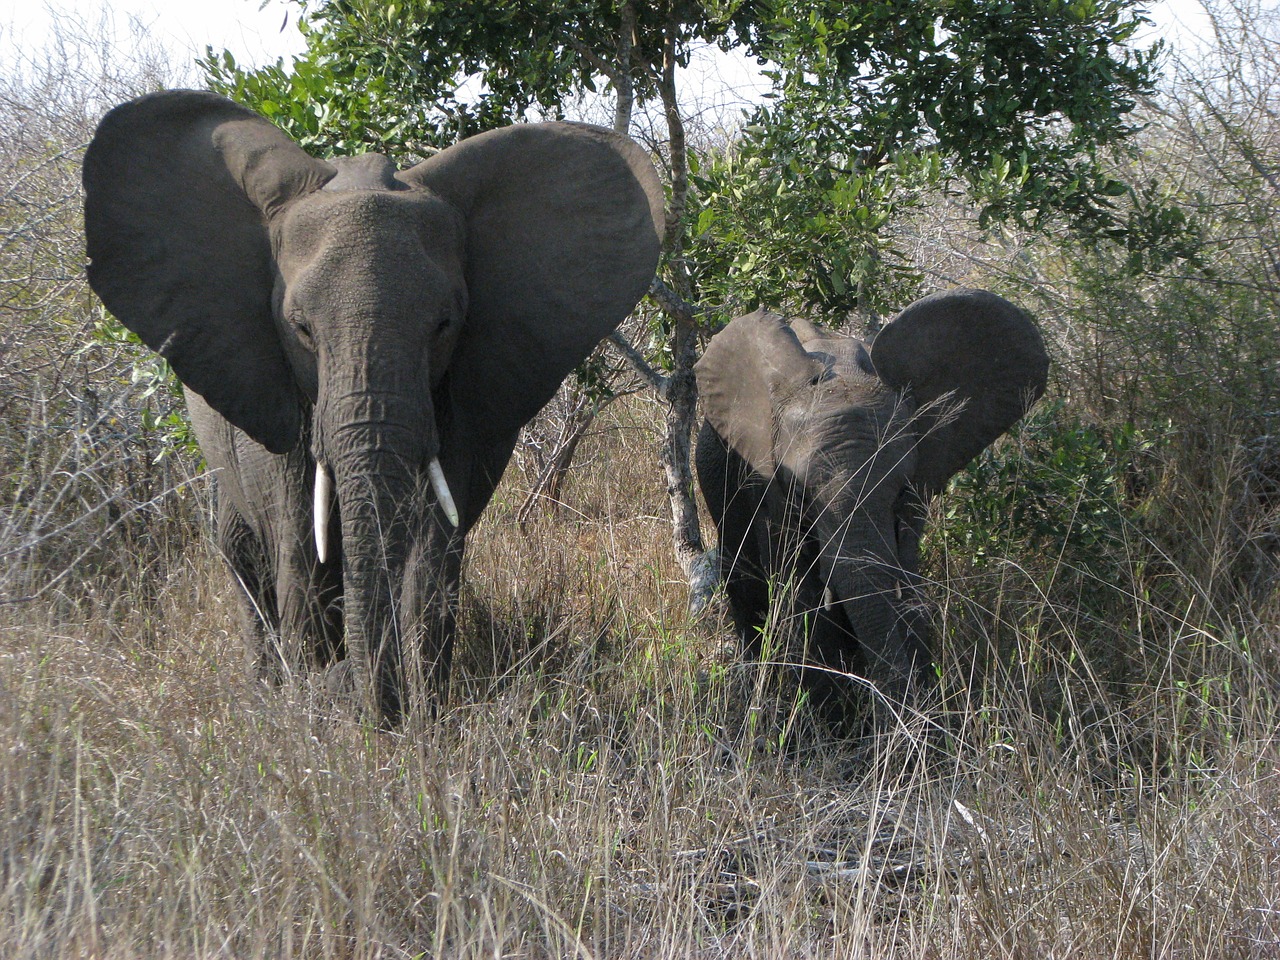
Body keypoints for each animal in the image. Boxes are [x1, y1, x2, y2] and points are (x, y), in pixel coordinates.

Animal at [696, 289, 1044, 727]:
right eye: (801, 493)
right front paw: (828, 722)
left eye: (900, 491)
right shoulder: (766, 483)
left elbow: (905, 582)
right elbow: (798, 591)